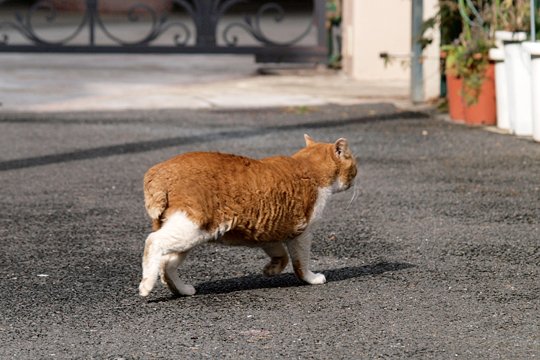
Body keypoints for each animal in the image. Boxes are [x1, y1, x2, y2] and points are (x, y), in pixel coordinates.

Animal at [139, 134, 358, 296]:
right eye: (354, 168)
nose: (354, 181)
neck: (306, 167)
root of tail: (159, 170)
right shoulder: (302, 235)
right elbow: (300, 263)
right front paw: (312, 279)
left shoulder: (270, 230)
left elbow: (281, 255)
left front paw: (271, 270)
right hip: (190, 227)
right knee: (153, 242)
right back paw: (146, 285)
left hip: (189, 237)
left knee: (166, 265)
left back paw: (182, 290)